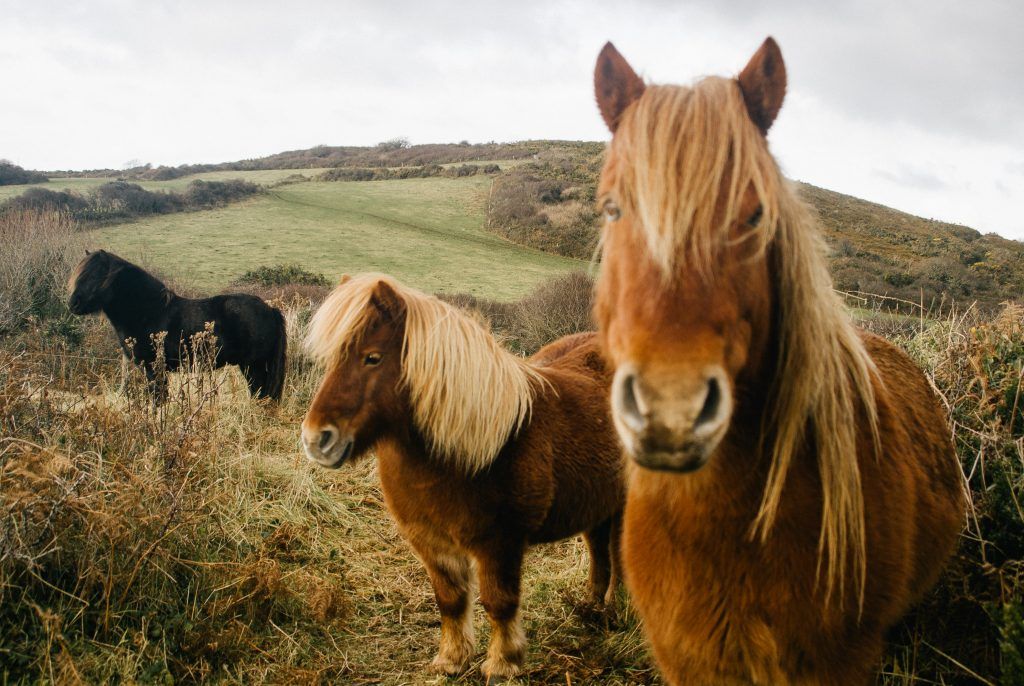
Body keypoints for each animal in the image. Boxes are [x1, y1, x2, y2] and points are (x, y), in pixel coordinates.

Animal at [68, 250, 286, 403]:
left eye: (94, 276)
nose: (73, 304)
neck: (148, 311)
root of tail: (269, 309)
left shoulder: (153, 370)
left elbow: (158, 400)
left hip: (254, 366)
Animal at [299, 276, 622, 683]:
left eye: (372, 357)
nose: (316, 440)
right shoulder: (429, 541)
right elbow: (450, 600)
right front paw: (451, 659)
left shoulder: (499, 543)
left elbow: (500, 602)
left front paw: (502, 663)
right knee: (598, 548)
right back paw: (590, 607)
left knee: (618, 554)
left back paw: (615, 611)